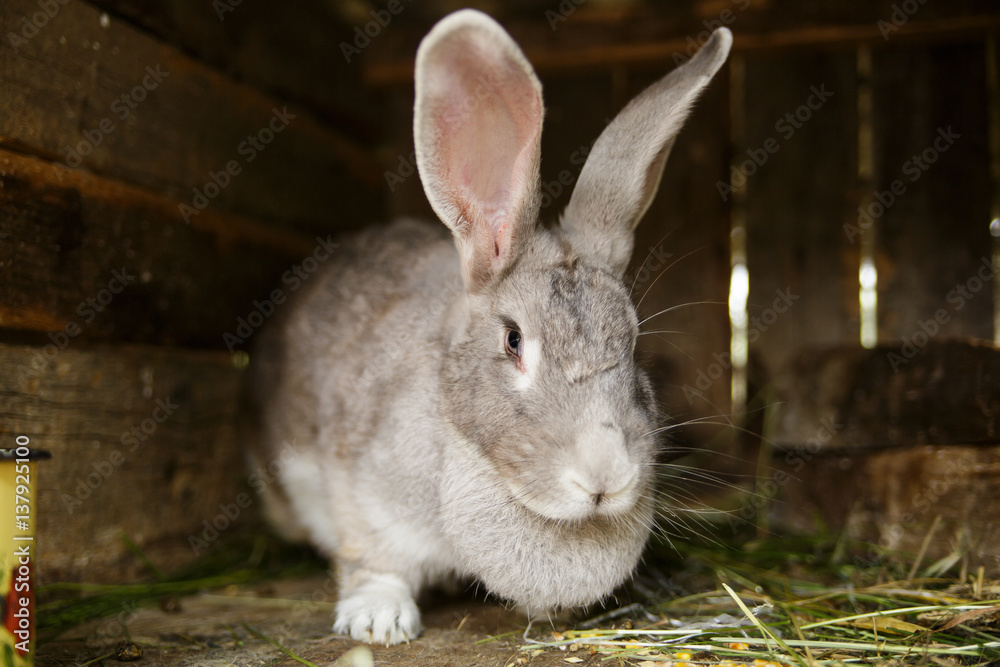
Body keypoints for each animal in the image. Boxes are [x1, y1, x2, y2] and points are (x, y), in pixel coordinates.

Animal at [249, 9, 731, 646]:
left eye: (634, 343)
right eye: (513, 341)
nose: (604, 476)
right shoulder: (360, 494)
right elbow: (371, 561)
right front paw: (378, 622)